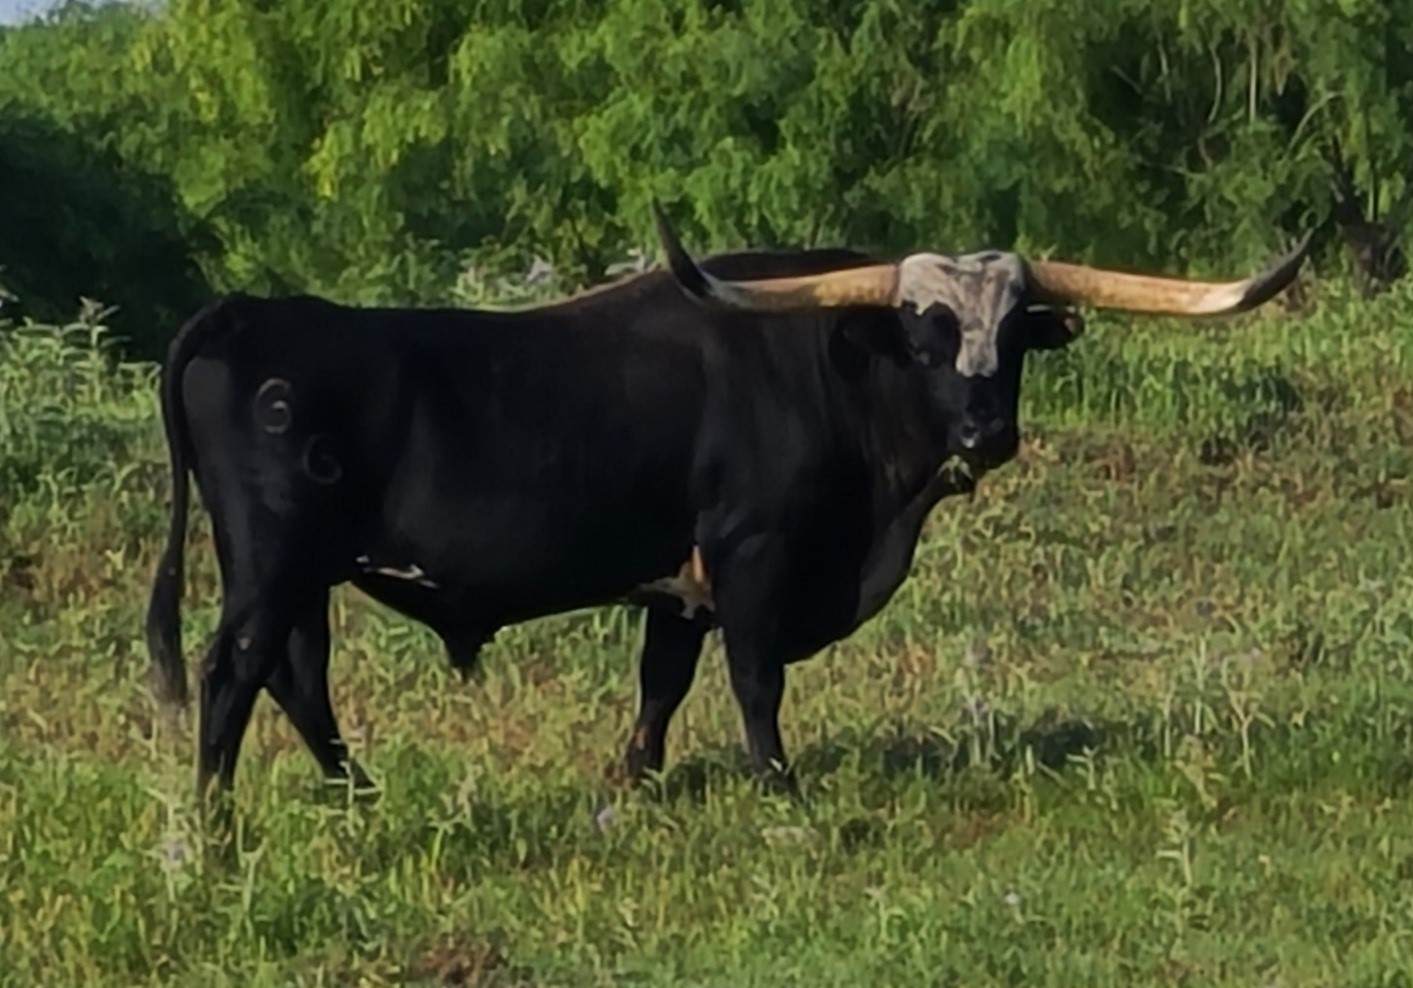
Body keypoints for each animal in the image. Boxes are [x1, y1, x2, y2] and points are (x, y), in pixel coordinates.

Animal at [146, 203, 1310, 800]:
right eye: (925, 334)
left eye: (1014, 335)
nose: (989, 433)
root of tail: (248, 313)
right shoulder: (754, 557)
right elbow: (755, 683)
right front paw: (780, 790)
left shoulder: (680, 582)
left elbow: (661, 685)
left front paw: (635, 783)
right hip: (270, 567)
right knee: (234, 674)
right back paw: (215, 831)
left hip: (304, 576)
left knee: (297, 679)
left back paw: (357, 796)